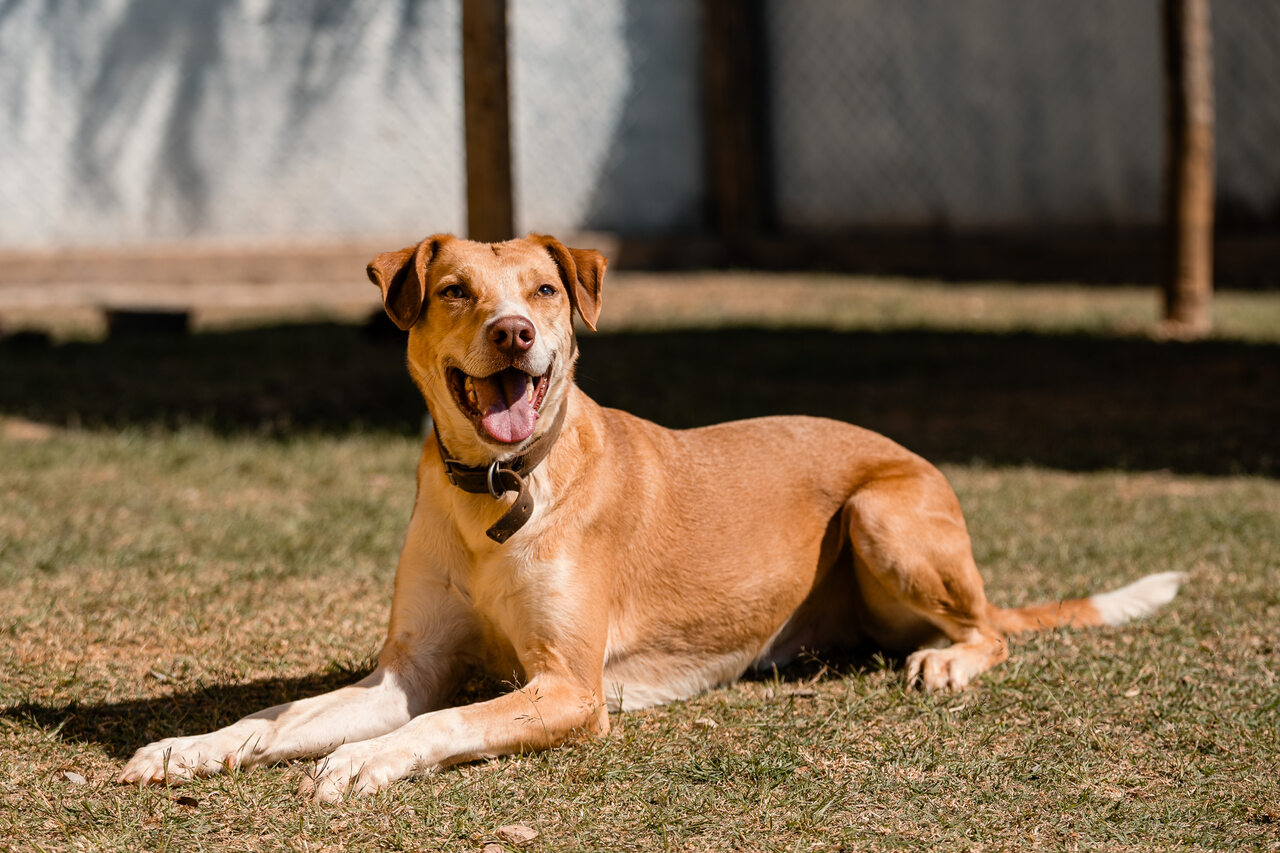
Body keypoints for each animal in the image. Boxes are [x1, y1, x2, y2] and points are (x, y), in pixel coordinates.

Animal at [120, 233, 1177, 799]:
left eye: (545, 289)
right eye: (456, 289)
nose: (517, 333)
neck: (496, 487)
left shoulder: (566, 687)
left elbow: (444, 724)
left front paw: (360, 761)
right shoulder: (404, 672)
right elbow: (278, 715)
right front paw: (188, 746)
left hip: (884, 514)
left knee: (990, 628)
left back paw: (949, 659)